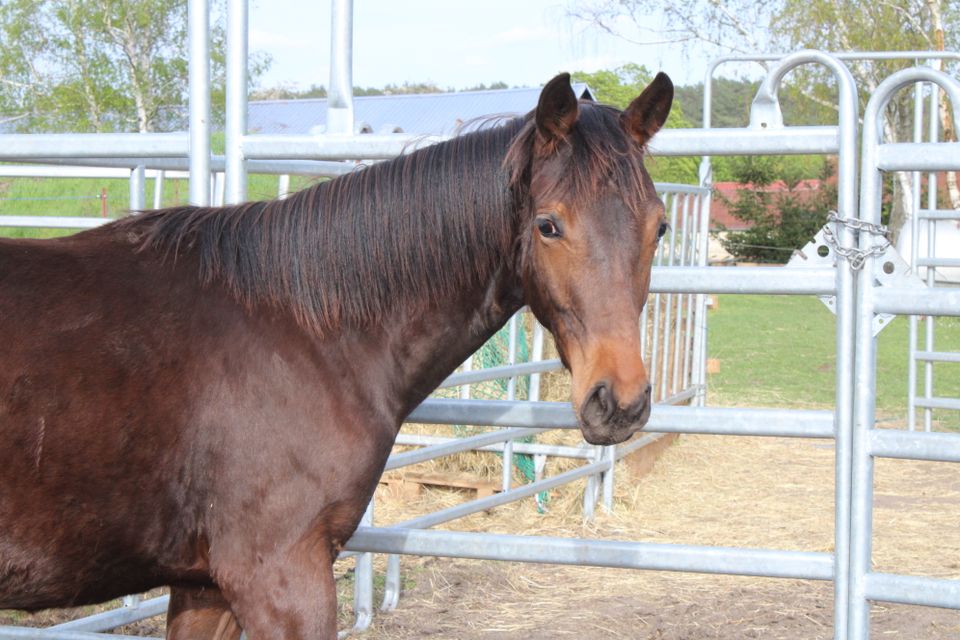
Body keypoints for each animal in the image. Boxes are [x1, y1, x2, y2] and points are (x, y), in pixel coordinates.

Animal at [0, 72, 672, 636]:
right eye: (547, 225)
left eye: (659, 227)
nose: (619, 402)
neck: (303, 331)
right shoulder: (280, 577)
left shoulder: (204, 586)